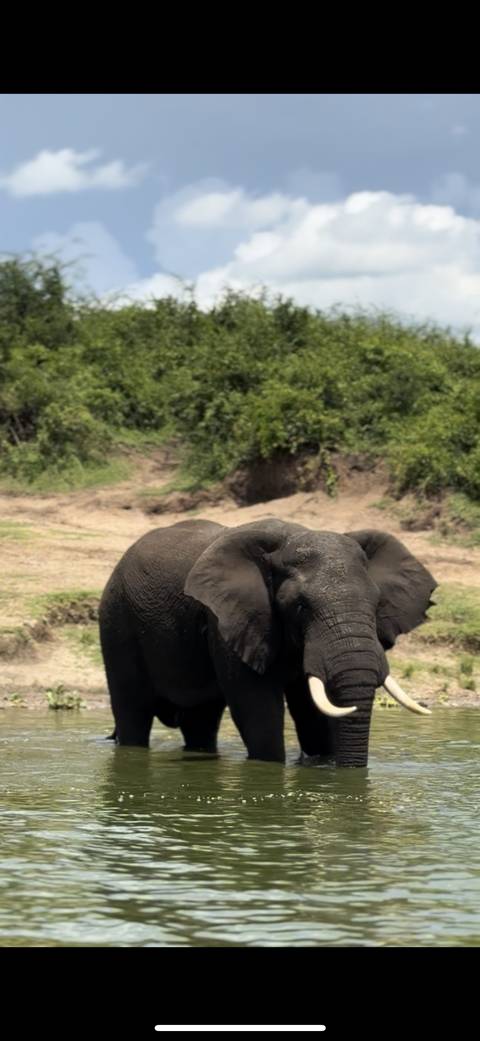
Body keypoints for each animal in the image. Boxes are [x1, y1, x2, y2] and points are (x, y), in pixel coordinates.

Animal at [99, 518, 437, 767]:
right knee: (133, 711)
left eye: (377, 604)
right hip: (116, 621)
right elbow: (257, 708)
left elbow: (313, 714)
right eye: (300, 606)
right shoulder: (229, 617)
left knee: (201, 720)